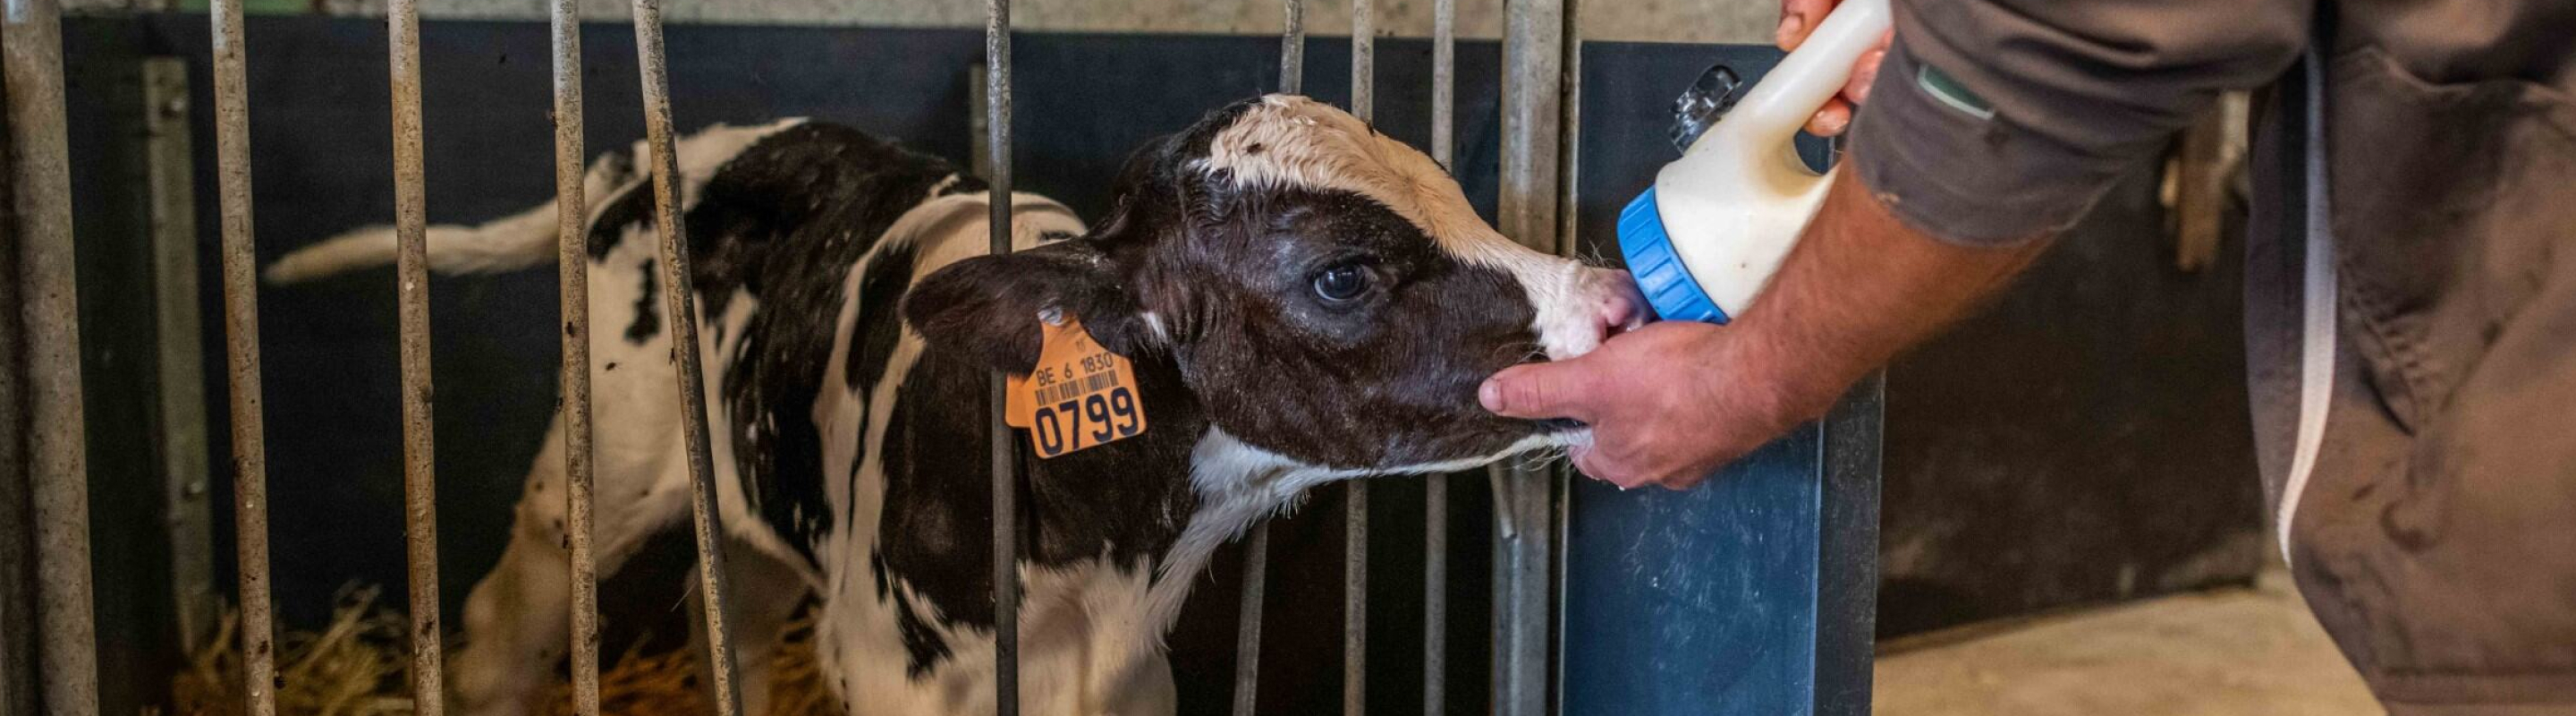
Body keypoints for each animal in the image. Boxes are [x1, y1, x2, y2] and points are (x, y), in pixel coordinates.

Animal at [264, 95, 1644, 716]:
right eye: (1342, 273)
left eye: (1452, 193)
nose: (1614, 301)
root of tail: (674, 149)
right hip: (592, 475)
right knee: (505, 620)